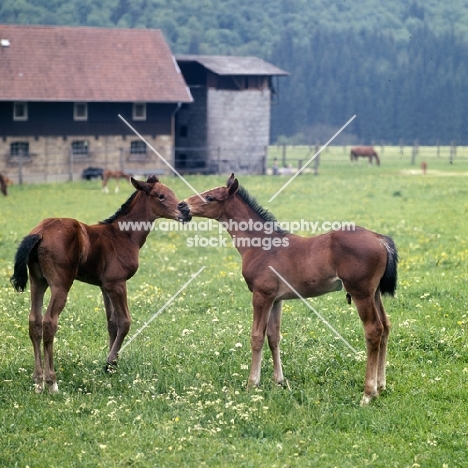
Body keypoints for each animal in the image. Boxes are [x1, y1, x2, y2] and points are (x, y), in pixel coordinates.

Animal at [11, 174, 183, 394]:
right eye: (160, 196)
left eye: (171, 192)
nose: (185, 211)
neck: (123, 235)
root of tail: (41, 232)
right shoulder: (117, 284)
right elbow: (125, 322)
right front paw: (110, 362)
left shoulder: (104, 286)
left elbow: (112, 323)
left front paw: (111, 367)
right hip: (60, 284)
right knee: (49, 322)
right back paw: (52, 382)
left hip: (38, 282)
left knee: (34, 322)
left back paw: (38, 382)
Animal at [177, 174, 396, 404]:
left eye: (210, 197)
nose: (182, 205)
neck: (261, 245)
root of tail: (380, 239)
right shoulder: (276, 299)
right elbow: (274, 336)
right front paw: (279, 381)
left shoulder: (261, 295)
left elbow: (257, 337)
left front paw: (252, 384)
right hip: (374, 293)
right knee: (385, 326)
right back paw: (381, 385)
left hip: (361, 293)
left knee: (373, 330)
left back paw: (368, 393)